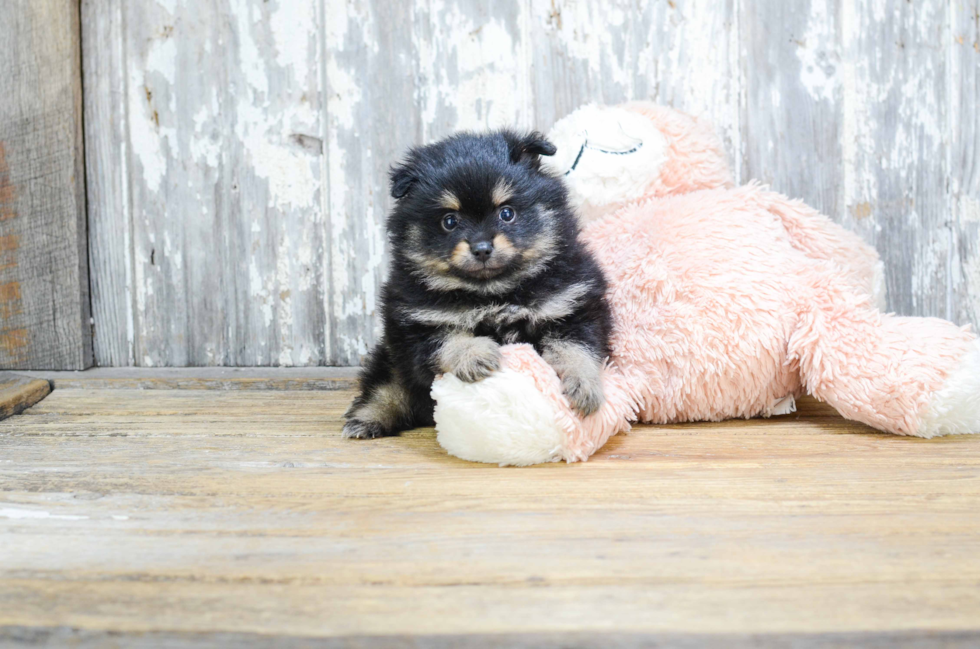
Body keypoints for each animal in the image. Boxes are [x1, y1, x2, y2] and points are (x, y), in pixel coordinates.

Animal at [340, 129, 608, 438]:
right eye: (449, 221)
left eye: (507, 213)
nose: (481, 248)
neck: (494, 293)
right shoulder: (415, 324)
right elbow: (446, 340)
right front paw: (474, 355)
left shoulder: (571, 305)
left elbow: (577, 349)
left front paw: (584, 386)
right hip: (390, 358)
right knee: (385, 388)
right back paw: (366, 420)